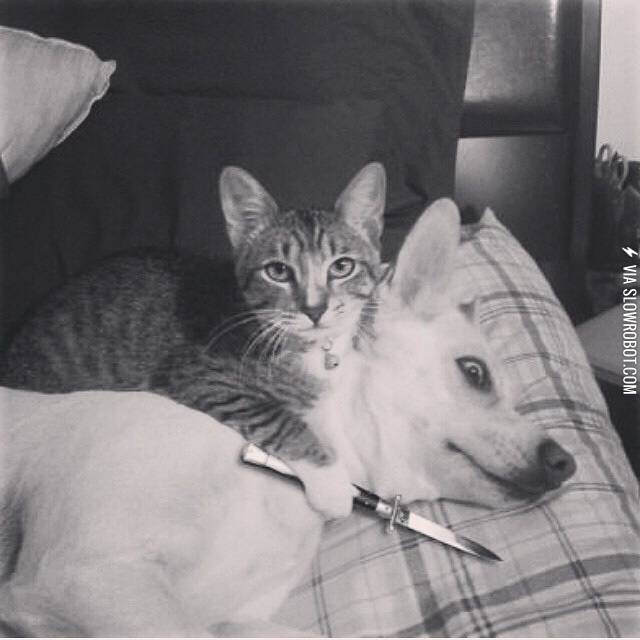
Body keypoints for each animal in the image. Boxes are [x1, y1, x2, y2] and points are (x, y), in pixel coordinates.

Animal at [0, 163, 387, 518]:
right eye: (278, 271)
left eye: (342, 267)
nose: (315, 309)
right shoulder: (199, 374)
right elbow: (277, 418)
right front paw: (333, 483)